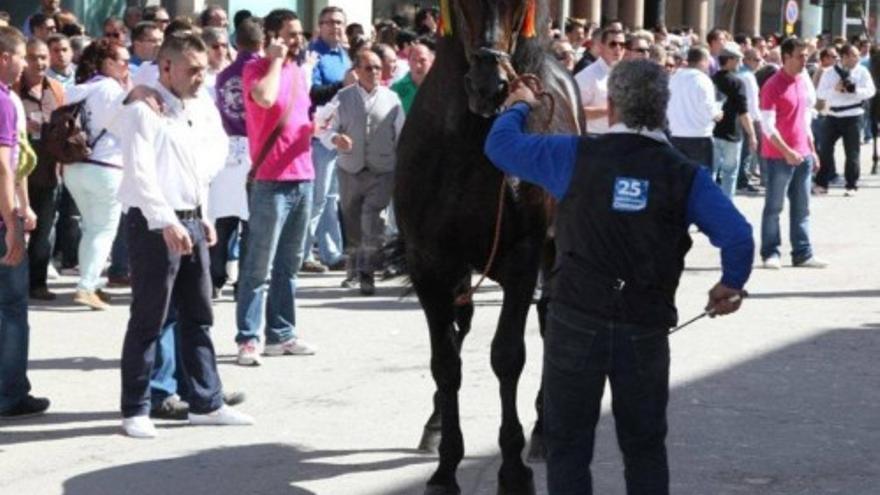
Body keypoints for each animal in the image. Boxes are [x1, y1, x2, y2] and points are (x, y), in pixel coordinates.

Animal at [396, 1, 580, 494]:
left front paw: (513, 468)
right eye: (460, 3)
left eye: (519, 5)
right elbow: (446, 361)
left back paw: (544, 431)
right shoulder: (429, 263)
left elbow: (507, 356)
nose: (489, 84)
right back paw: (435, 421)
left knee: (549, 320)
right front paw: (445, 467)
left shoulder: (521, 258)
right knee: (461, 330)